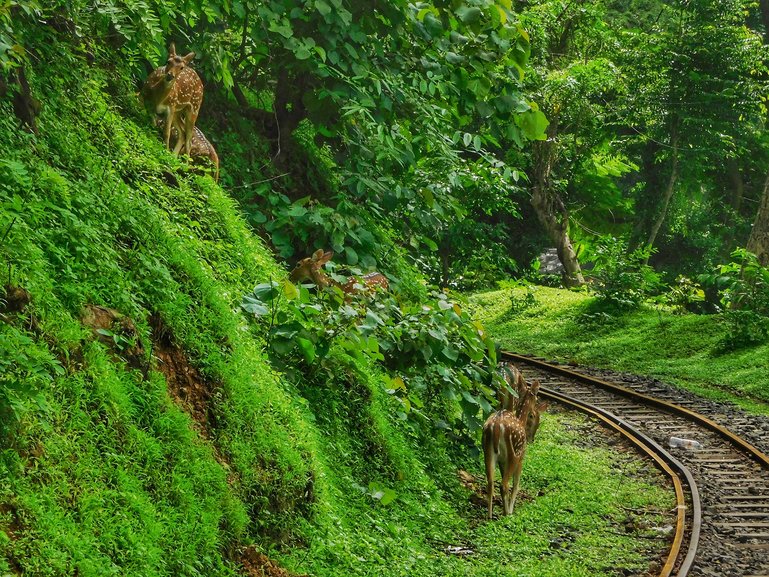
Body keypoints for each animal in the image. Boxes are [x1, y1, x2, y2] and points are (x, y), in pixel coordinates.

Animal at [480, 372, 544, 520]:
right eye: (534, 415)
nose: (531, 439)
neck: (520, 419)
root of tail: (496, 427)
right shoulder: (521, 457)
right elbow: (516, 485)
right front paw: (509, 511)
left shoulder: (502, 462)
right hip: (513, 453)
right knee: (504, 484)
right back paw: (506, 514)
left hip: (487, 451)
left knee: (491, 482)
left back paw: (489, 517)